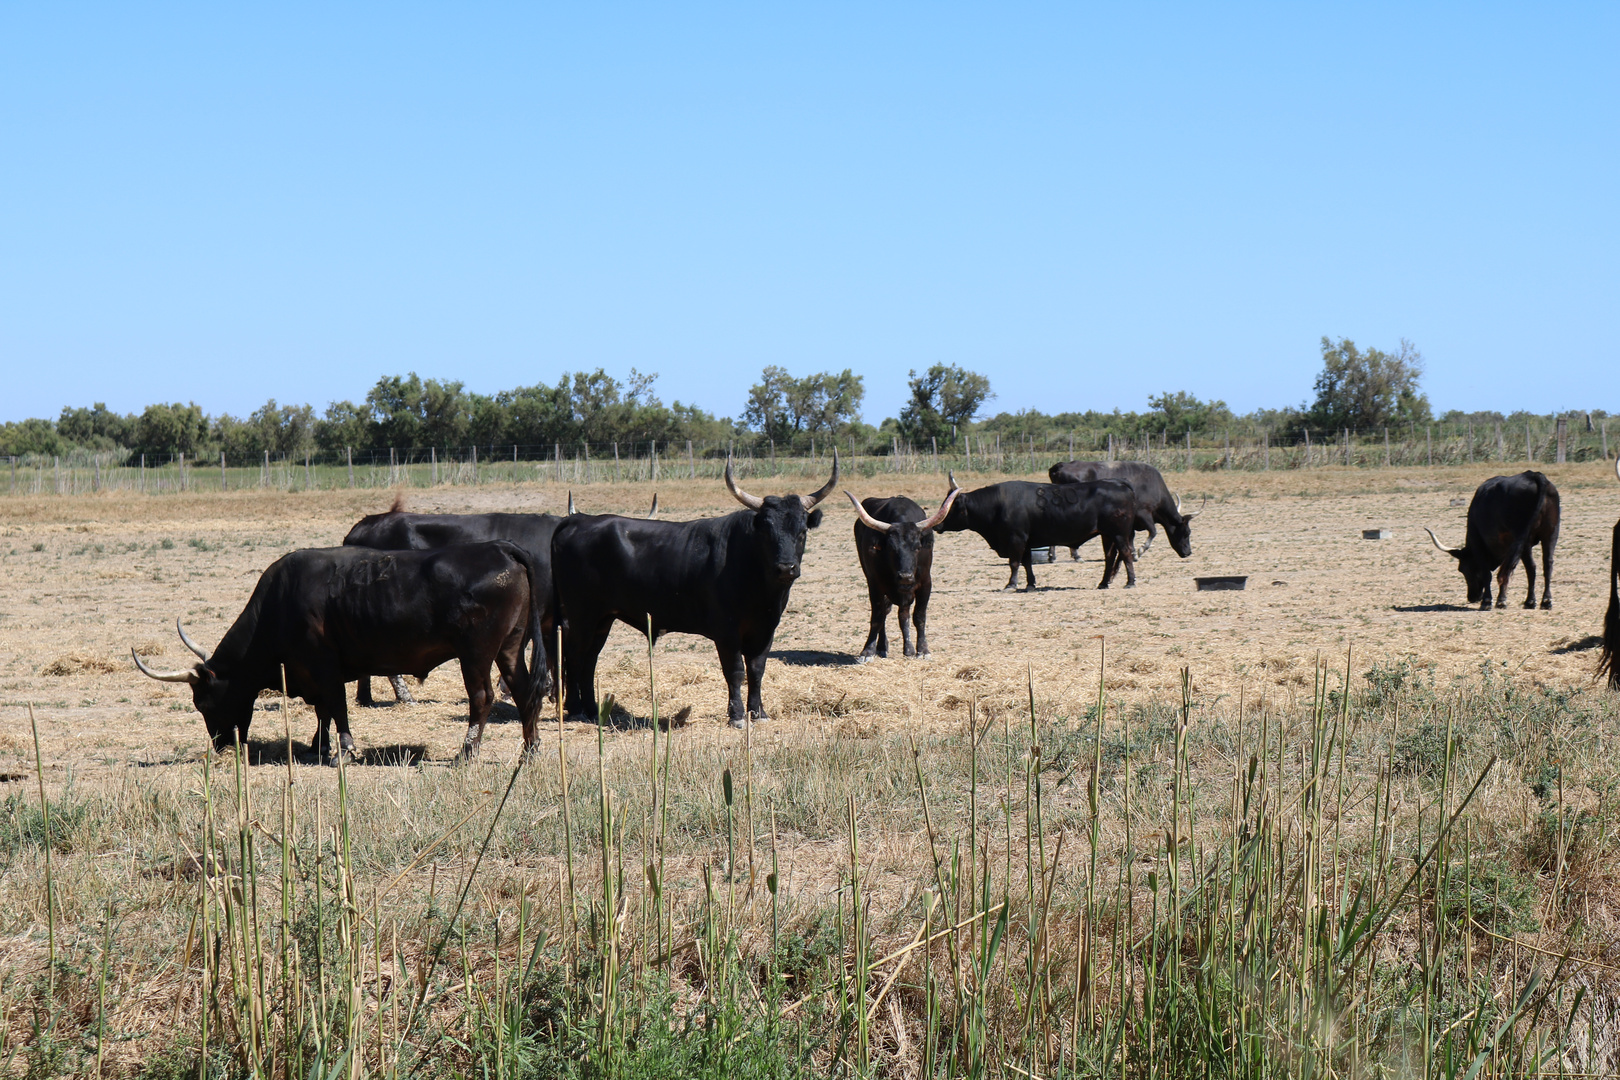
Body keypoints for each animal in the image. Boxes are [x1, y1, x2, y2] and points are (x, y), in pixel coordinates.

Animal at [129, 540, 547, 761]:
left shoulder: (324, 665)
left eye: (203, 703)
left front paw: (343, 749)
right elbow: (323, 711)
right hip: (510, 648)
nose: (222, 747)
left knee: (482, 697)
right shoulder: (312, 673)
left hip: (476, 653)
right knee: (524, 691)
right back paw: (530, 749)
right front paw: (319, 745)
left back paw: (466, 752)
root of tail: (497, 548)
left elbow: (337, 706)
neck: (279, 602)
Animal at [554, 453, 842, 725]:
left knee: (589, 659)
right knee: (575, 655)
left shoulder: (765, 629)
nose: (785, 568)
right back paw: (577, 710)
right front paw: (737, 715)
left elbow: (757, 669)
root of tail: (578, 520)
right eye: (766, 532)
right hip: (581, 615)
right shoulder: (726, 632)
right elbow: (735, 671)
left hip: (603, 618)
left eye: (802, 531)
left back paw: (592, 710)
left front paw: (758, 712)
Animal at [848, 479, 959, 660]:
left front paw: (922, 650)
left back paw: (908, 648)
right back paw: (882, 647)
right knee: (886, 613)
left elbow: (919, 616)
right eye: (891, 548)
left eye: (917, 547)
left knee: (903, 614)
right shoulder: (875, 584)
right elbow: (877, 617)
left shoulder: (925, 583)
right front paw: (868, 651)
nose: (905, 576)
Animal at [933, 482, 1146, 592]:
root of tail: (1120, 484)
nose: (937, 524)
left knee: (1126, 553)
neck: (998, 504)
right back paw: (1103, 583)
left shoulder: (1016, 539)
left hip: (1119, 534)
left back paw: (1130, 582)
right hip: (1107, 535)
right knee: (1110, 557)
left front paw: (1011, 584)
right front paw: (1030, 584)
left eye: (951, 506)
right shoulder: (1025, 542)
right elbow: (1027, 563)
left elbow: (1014, 563)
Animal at [1043, 459, 1198, 563]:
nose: (1189, 552)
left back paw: (1052, 556)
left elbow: (1131, 536)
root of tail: (1060, 466)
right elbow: (1153, 532)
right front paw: (1139, 552)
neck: (1154, 487)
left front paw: (1132, 553)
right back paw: (1076, 556)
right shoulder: (1144, 513)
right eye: (1187, 533)